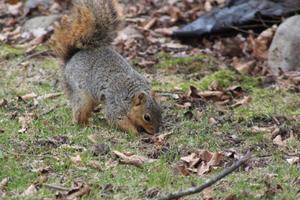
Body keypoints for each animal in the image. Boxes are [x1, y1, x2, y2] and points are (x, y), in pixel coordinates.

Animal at [48, 0, 162, 134]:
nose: (156, 131)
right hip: (82, 96)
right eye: (146, 117)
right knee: (79, 112)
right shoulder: (115, 104)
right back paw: (85, 124)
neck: (129, 96)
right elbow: (117, 120)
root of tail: (70, 58)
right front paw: (135, 131)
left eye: (160, 111)